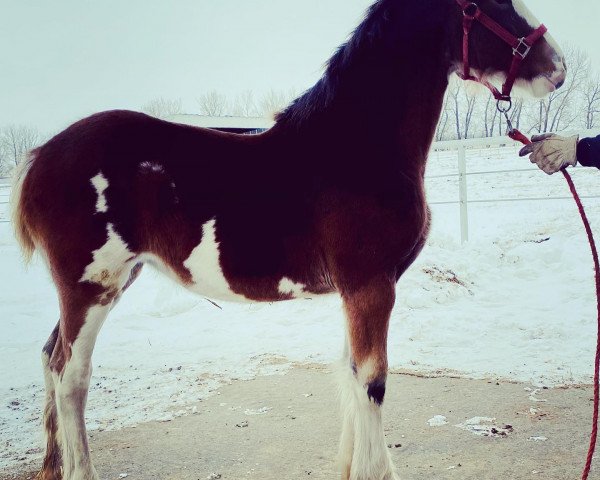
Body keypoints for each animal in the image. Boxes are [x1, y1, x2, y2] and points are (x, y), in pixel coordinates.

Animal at [10, 0, 564, 480]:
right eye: (482, 5)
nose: (557, 68)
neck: (357, 147)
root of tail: (39, 158)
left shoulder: (357, 289)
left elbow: (349, 372)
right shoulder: (371, 285)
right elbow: (372, 381)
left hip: (107, 282)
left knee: (50, 356)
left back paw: (52, 465)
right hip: (91, 287)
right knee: (70, 376)